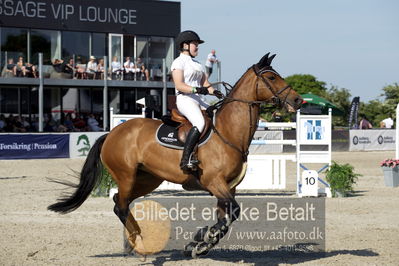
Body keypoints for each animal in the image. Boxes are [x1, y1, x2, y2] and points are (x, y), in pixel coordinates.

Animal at [48, 52, 302, 258]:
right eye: (271, 78)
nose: (298, 100)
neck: (228, 131)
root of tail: (111, 133)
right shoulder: (214, 182)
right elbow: (232, 213)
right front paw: (203, 238)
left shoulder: (229, 187)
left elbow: (226, 218)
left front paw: (199, 243)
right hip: (127, 175)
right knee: (120, 205)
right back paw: (139, 242)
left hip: (147, 179)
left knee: (120, 201)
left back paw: (133, 242)